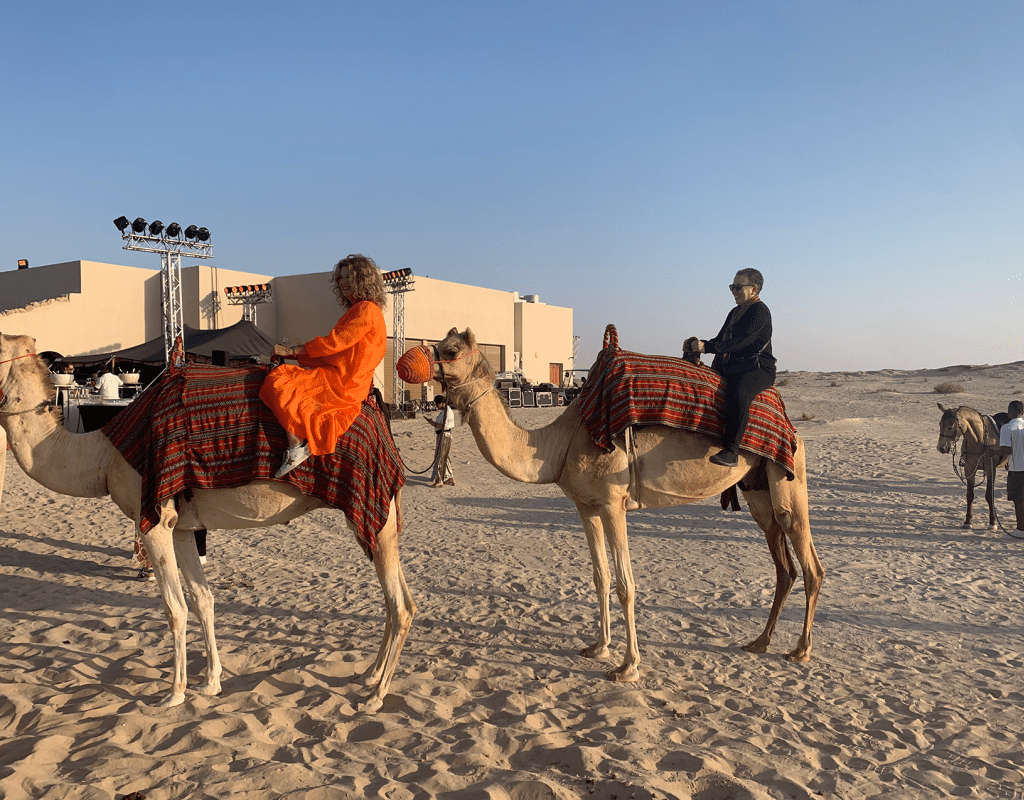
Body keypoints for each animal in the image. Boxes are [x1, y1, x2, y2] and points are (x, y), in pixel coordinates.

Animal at [0, 332, 414, 712]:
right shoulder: (182, 527)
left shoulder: (154, 523)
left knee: (400, 605)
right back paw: (369, 675)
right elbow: (203, 600)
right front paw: (210, 682)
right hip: (375, 519)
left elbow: (174, 608)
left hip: (373, 509)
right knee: (398, 599)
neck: (104, 454)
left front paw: (173, 693)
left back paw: (376, 696)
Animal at [427, 328, 824, 682]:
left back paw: (801, 650)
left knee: (810, 564)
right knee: (783, 564)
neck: (561, 443)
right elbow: (600, 577)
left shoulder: (613, 503)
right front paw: (598, 647)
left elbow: (625, 585)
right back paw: (759, 642)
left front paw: (628, 666)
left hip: (789, 478)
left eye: (450, 350)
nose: (417, 360)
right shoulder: (586, 506)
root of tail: (793, 429)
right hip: (758, 490)